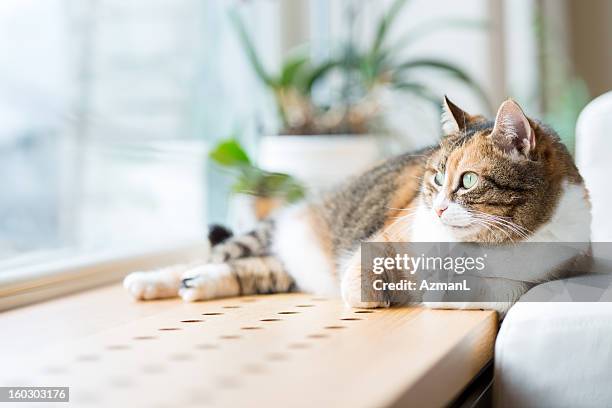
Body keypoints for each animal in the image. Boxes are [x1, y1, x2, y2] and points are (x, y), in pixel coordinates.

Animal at [125, 97, 592, 314]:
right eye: (436, 178)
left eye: (469, 181)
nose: (439, 209)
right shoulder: (390, 233)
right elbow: (363, 269)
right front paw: (370, 294)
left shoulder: (547, 272)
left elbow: (501, 289)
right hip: (272, 229)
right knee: (216, 255)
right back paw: (149, 281)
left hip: (280, 268)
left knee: (248, 270)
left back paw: (195, 285)